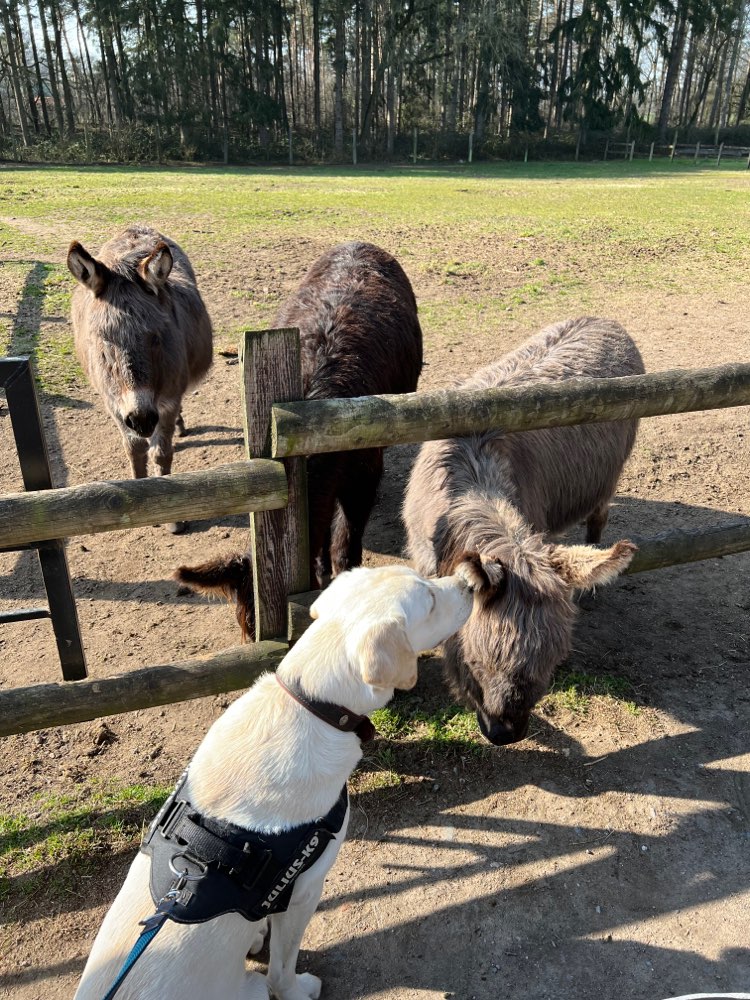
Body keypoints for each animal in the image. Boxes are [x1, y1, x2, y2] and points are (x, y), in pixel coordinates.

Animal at [75, 564, 488, 1000]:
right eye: (430, 600)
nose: (469, 580)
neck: (312, 704)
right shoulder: (304, 888)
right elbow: (282, 967)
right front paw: (297, 988)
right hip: (252, 987)